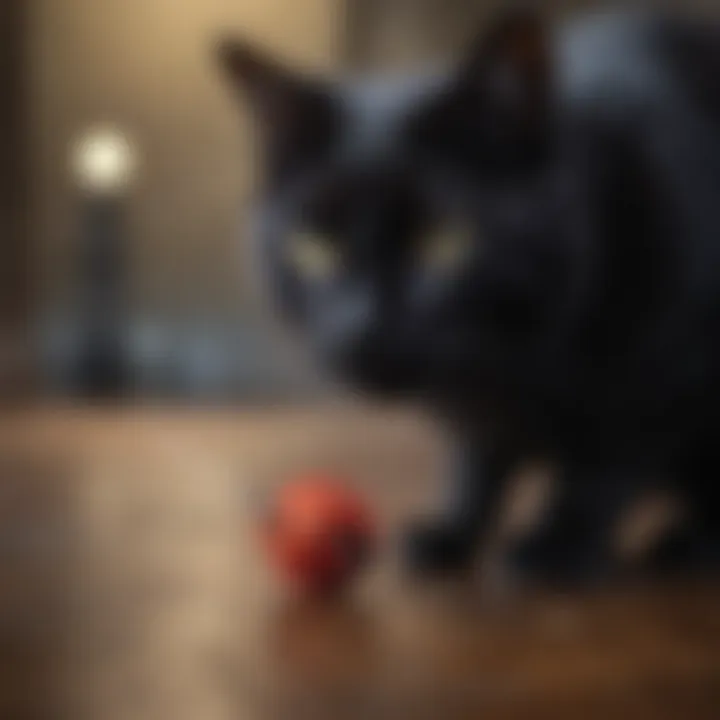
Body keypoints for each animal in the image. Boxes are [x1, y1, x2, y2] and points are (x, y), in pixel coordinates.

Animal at [217, 7, 720, 584]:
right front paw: (454, 531)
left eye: (445, 240)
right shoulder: (470, 408)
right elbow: (476, 464)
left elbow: (603, 467)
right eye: (315, 246)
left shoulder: (661, 374)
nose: (361, 327)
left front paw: (555, 545)